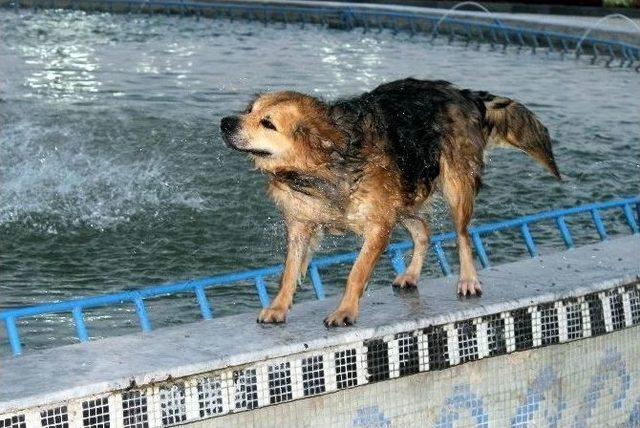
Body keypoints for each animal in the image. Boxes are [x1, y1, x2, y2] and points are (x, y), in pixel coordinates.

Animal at [221, 78, 560, 328]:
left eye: (267, 123)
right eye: (249, 110)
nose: (225, 121)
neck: (322, 169)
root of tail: (461, 93)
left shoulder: (378, 225)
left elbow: (356, 272)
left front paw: (345, 311)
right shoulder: (301, 226)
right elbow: (289, 271)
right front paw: (278, 306)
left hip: (454, 187)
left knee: (462, 235)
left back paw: (468, 280)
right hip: (404, 197)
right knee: (423, 230)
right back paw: (411, 274)